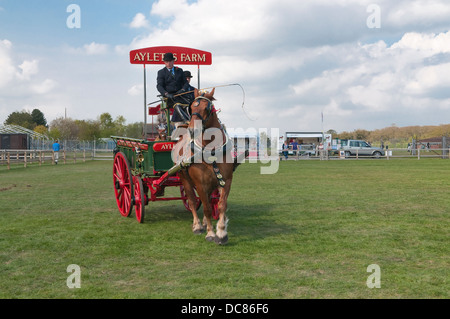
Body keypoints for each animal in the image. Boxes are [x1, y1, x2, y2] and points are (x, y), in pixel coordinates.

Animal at [176, 89, 239, 246]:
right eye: (191, 108)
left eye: (207, 108)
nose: (192, 130)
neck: (212, 150)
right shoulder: (200, 184)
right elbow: (206, 209)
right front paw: (210, 233)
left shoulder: (226, 181)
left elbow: (221, 205)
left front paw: (221, 233)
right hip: (185, 179)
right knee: (192, 201)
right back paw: (198, 225)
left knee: (209, 200)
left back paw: (204, 223)